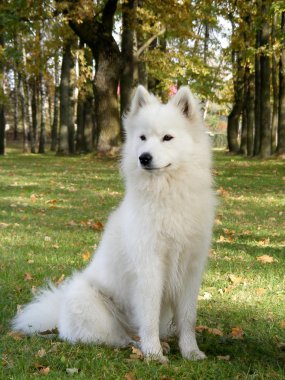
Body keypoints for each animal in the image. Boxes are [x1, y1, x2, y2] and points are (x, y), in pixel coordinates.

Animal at [12, 85, 214, 362]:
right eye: (142, 137)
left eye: (167, 138)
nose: (144, 157)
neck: (167, 195)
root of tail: (59, 313)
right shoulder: (149, 269)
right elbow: (149, 317)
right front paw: (153, 354)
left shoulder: (190, 270)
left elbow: (187, 318)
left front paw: (191, 352)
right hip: (88, 302)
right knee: (115, 337)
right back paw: (141, 345)